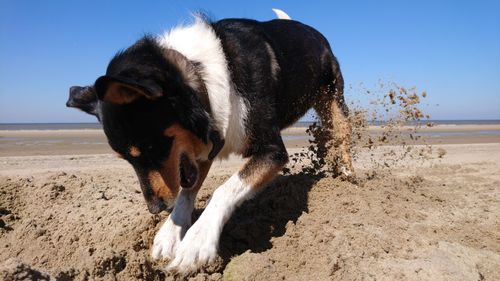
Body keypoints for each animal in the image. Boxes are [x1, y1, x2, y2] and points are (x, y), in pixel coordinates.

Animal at [66, 8, 354, 272]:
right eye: (126, 159)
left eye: (150, 148)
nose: (155, 209)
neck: (199, 74)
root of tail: (305, 27)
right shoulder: (206, 146)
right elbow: (186, 194)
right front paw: (169, 234)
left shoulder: (272, 151)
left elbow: (223, 189)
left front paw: (196, 242)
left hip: (332, 98)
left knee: (342, 133)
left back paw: (347, 174)